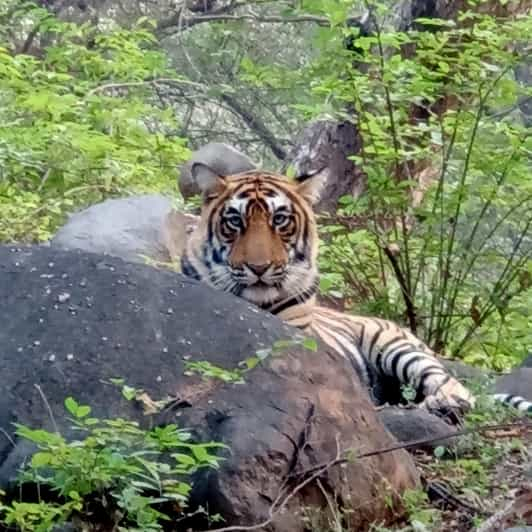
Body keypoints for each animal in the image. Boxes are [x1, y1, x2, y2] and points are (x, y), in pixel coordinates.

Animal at [181, 164, 528, 414]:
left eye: (280, 220)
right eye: (235, 222)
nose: (259, 267)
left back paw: (442, 402)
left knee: (456, 386)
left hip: (397, 347)